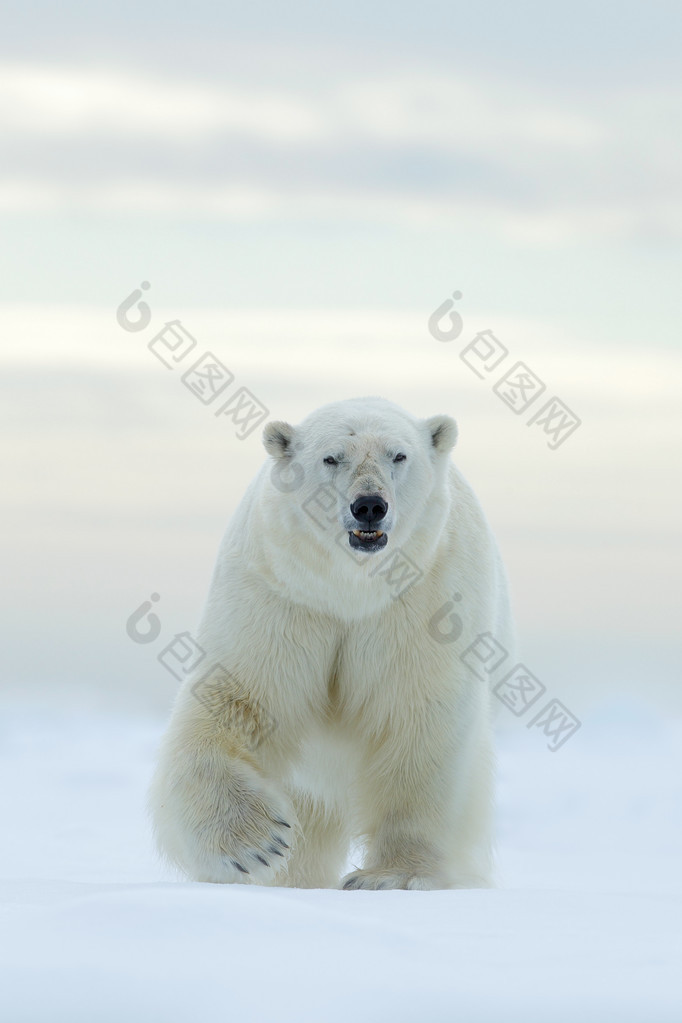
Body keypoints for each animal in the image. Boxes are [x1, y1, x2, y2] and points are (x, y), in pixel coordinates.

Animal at [149, 394, 511, 892]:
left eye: (399, 455)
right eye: (331, 457)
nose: (369, 505)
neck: (350, 589)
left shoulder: (428, 599)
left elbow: (419, 722)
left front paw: (392, 876)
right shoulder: (282, 594)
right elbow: (239, 696)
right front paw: (254, 844)